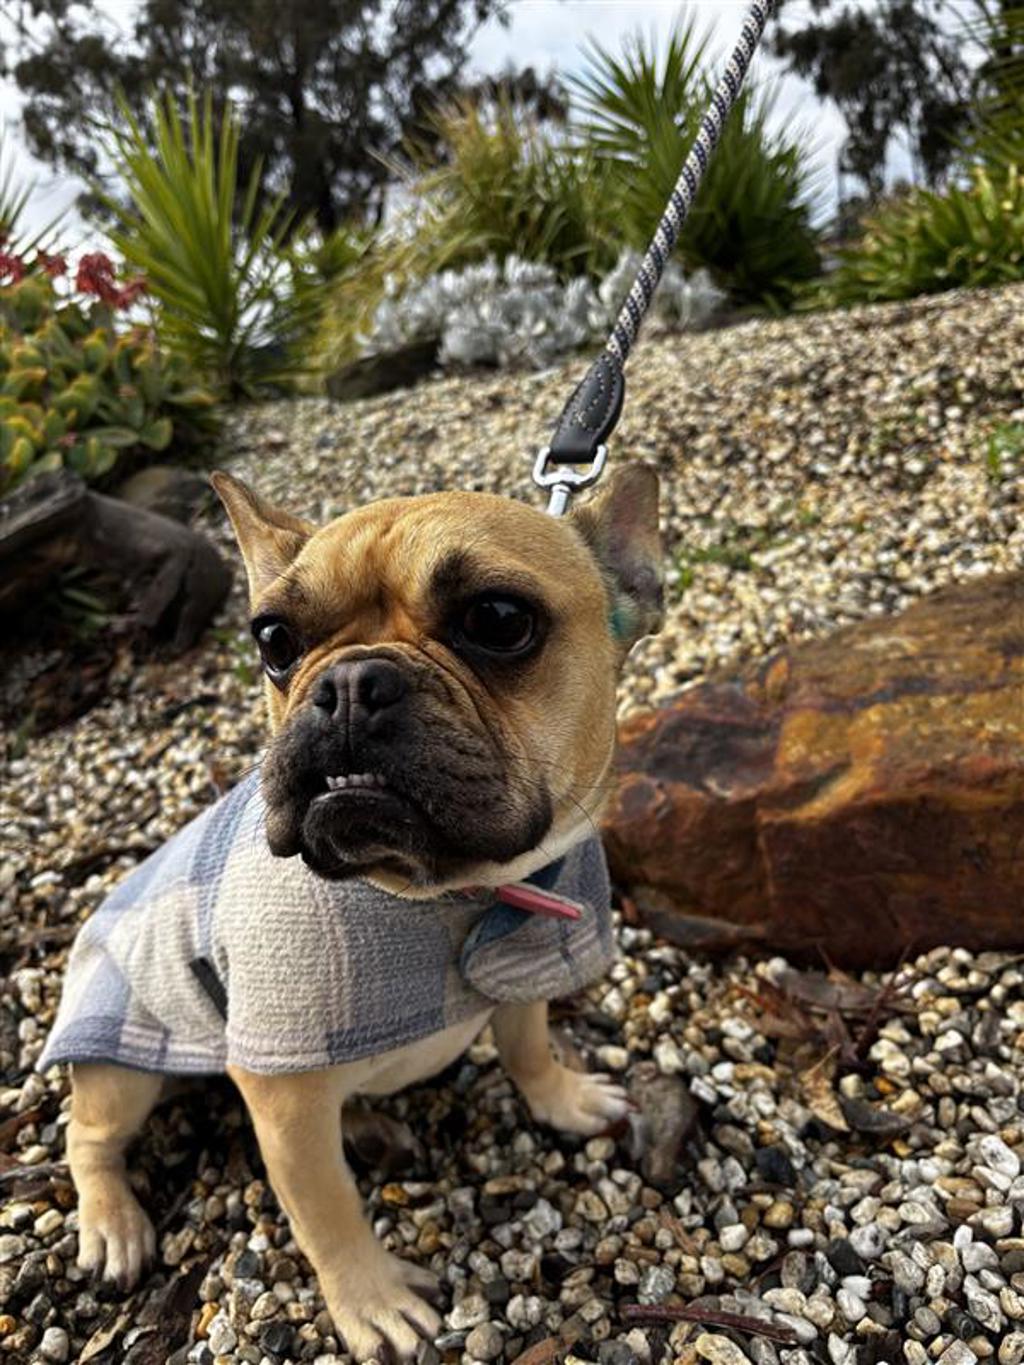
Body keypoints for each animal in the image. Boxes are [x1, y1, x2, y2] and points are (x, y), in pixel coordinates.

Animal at [42, 464, 663, 1361]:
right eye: (273, 640)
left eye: (499, 620)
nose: (345, 684)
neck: (440, 896)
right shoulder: (284, 1101)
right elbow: (327, 1210)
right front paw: (371, 1300)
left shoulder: (521, 968)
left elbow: (527, 1041)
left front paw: (564, 1096)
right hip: (122, 1061)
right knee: (87, 1135)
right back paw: (112, 1223)